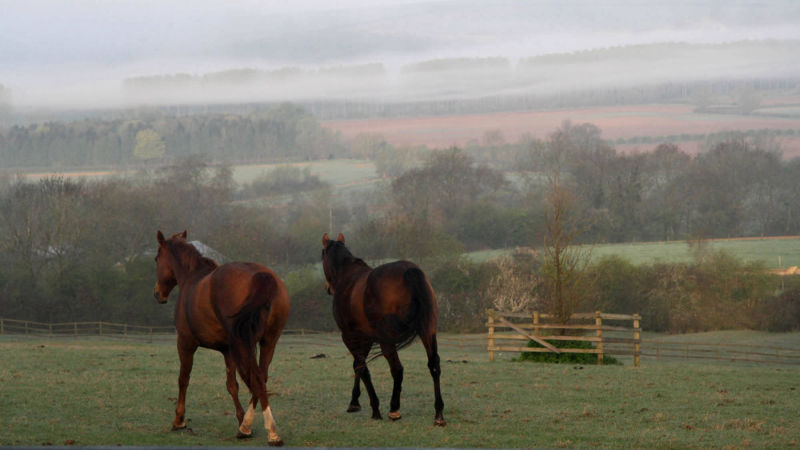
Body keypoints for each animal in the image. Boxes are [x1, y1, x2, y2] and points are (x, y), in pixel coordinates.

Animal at [152, 232, 290, 446]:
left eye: (157, 259)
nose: (158, 294)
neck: (192, 279)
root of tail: (261, 275)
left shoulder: (185, 344)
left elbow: (183, 379)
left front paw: (179, 420)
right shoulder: (227, 351)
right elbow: (232, 385)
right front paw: (240, 418)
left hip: (244, 344)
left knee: (257, 379)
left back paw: (267, 432)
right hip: (268, 342)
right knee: (261, 378)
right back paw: (246, 427)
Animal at [318, 234, 444, 428]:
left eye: (322, 256)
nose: (328, 288)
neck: (348, 276)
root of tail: (410, 271)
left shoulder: (350, 336)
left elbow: (361, 367)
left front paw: (374, 408)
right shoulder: (366, 338)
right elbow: (358, 365)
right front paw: (354, 402)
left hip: (387, 339)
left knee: (397, 369)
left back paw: (394, 410)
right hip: (427, 331)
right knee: (434, 365)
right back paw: (438, 414)